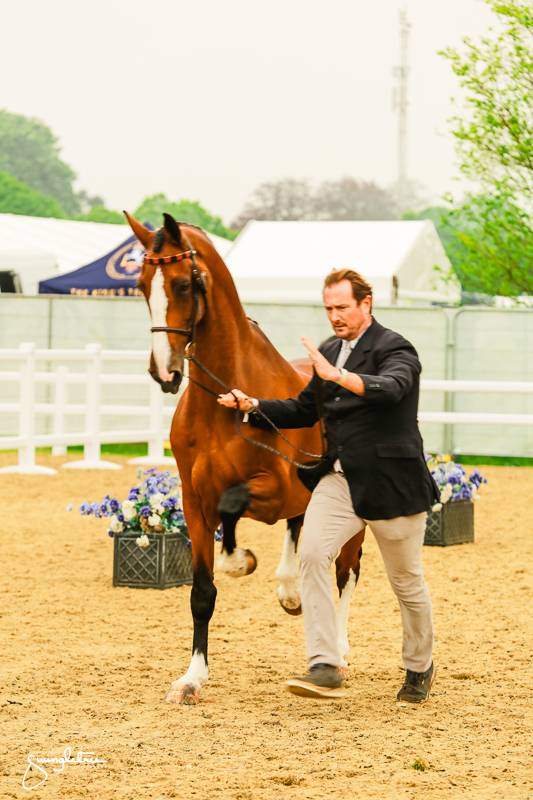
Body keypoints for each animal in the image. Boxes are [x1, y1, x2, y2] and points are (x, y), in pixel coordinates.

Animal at [125, 214, 366, 708]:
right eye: (140, 285)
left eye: (182, 285)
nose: (164, 372)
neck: (224, 402)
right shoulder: (194, 503)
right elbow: (202, 591)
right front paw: (192, 679)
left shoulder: (272, 491)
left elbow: (234, 506)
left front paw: (242, 560)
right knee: (301, 539)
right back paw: (290, 593)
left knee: (345, 574)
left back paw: (339, 649)